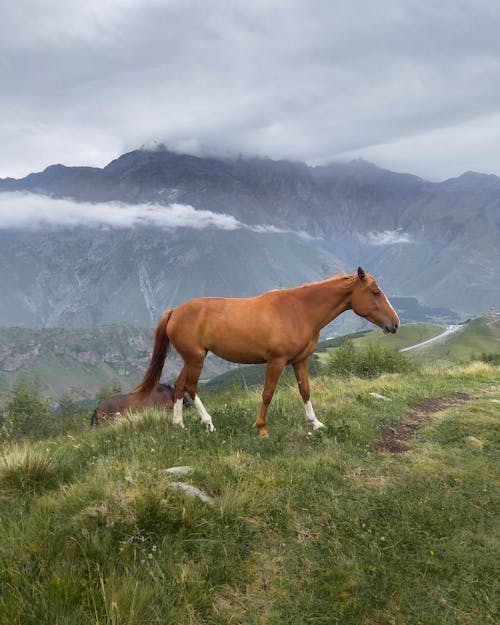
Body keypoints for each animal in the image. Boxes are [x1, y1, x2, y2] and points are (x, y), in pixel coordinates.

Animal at [135, 266, 400, 434]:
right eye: (376, 292)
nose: (395, 324)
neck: (300, 310)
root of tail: (174, 312)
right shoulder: (276, 361)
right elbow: (267, 394)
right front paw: (261, 428)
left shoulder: (300, 360)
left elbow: (305, 390)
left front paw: (315, 423)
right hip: (196, 359)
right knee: (191, 386)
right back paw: (209, 424)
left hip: (192, 359)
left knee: (180, 385)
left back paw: (179, 424)